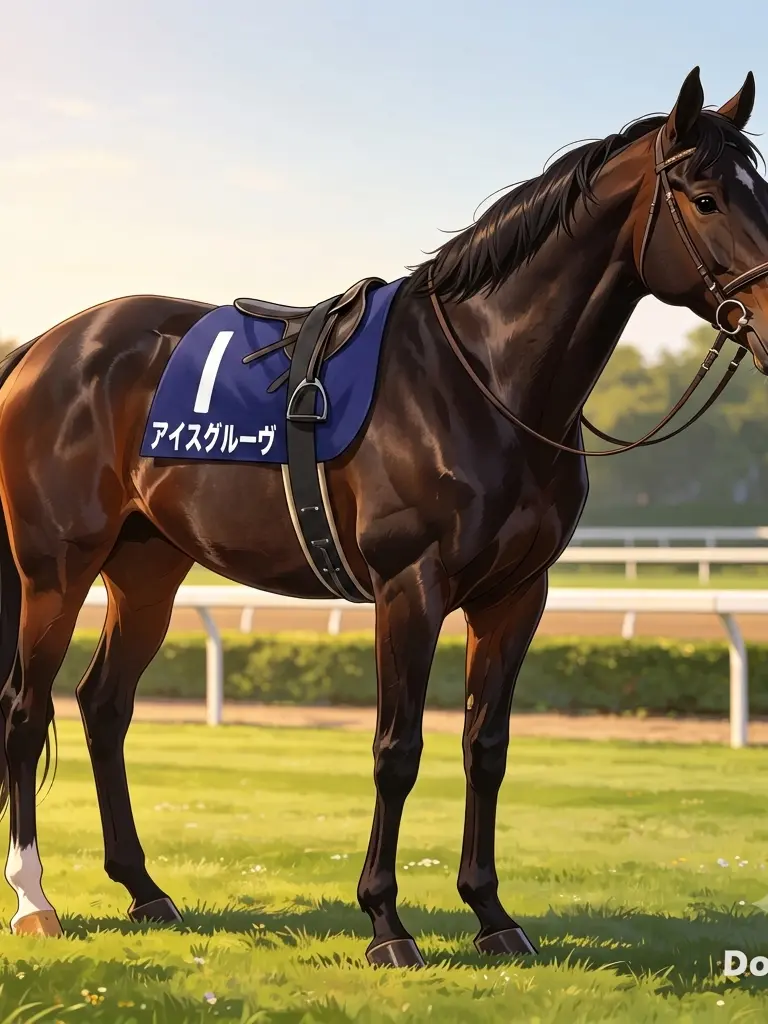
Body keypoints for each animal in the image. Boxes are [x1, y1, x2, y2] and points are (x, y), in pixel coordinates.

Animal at [0, 66, 767, 968]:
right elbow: (397, 749)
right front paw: (386, 925)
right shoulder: (410, 585)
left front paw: (492, 914)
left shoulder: (518, 594)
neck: (483, 379)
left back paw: (145, 890)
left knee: (104, 706)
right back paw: (34, 898)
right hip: (56, 569)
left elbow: (486, 747)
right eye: (706, 197)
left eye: (762, 191)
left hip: (147, 568)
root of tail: (47, 345)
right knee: (26, 709)